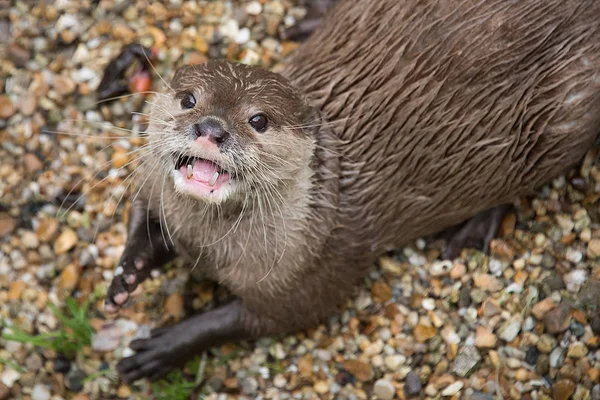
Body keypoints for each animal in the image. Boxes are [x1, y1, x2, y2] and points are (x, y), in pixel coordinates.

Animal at [106, 0, 600, 382]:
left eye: (258, 119)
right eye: (189, 99)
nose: (210, 128)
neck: (207, 245)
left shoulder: (313, 270)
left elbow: (254, 319)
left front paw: (165, 348)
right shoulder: (153, 189)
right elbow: (142, 219)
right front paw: (126, 277)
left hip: (564, 118)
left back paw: (472, 229)